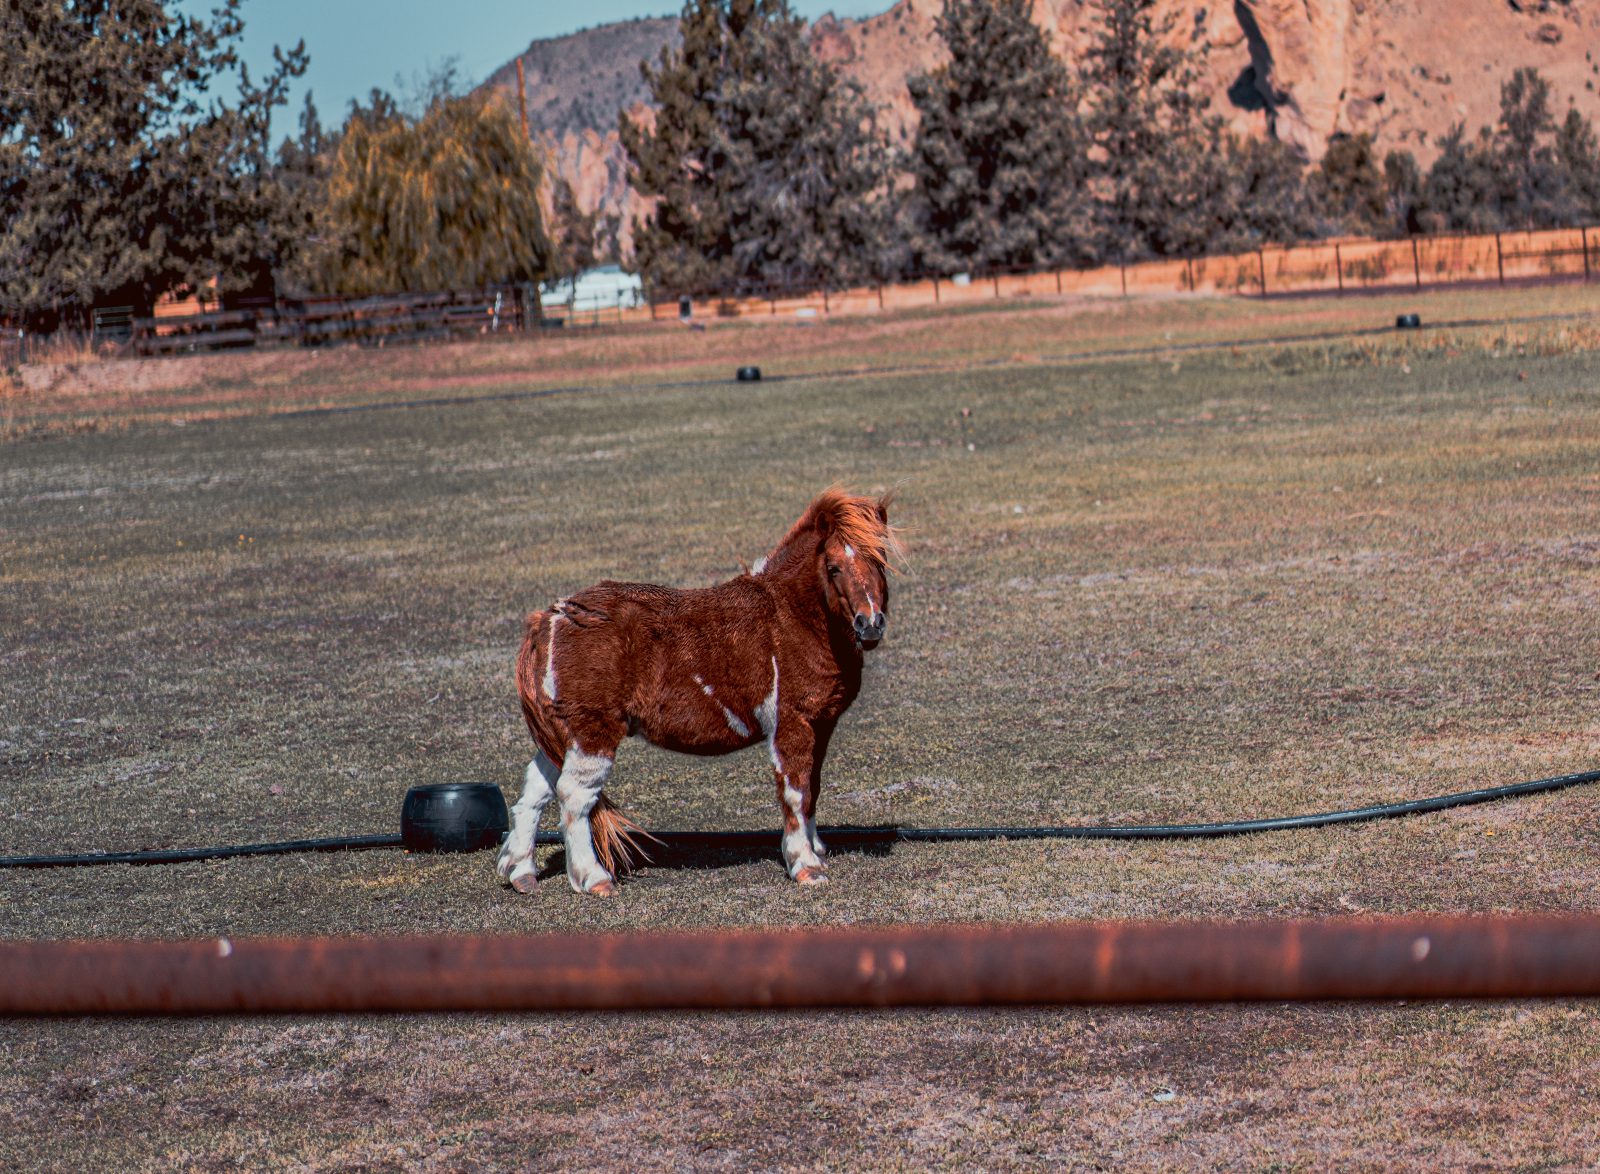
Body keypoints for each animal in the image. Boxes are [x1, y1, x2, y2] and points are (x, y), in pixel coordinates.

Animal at [499, 492, 902, 895]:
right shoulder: (792, 724)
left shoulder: (822, 724)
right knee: (573, 796)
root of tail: (549, 618)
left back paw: (521, 872)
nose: (870, 624)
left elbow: (812, 788)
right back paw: (594, 878)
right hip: (592, 732)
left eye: (881, 561)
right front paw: (805, 864)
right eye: (833, 567)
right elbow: (795, 791)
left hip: (563, 734)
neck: (790, 616)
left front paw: (816, 848)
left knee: (536, 790)